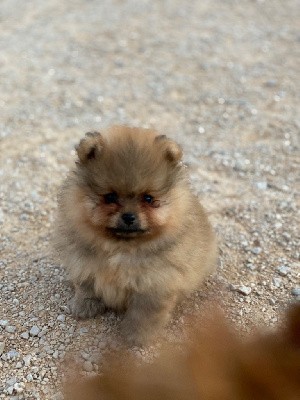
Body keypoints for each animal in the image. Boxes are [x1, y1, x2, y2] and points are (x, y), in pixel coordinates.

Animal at [55, 126, 217, 346]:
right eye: (110, 197)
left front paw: (137, 336)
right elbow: (86, 286)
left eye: (148, 198)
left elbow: (144, 315)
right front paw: (85, 306)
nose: (129, 216)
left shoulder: (155, 284)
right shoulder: (84, 263)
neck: (121, 247)